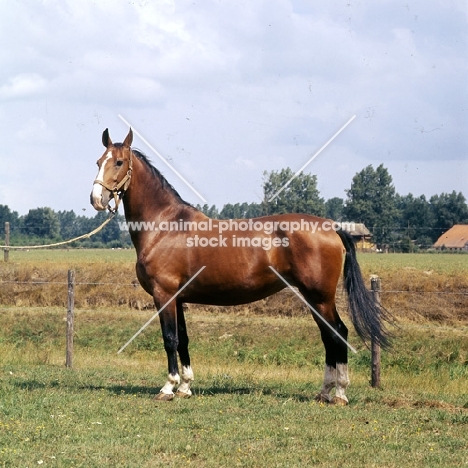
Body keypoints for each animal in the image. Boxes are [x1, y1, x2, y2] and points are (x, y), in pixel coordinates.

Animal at [89, 129, 390, 406]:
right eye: (98, 161)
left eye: (118, 162)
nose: (96, 199)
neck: (165, 226)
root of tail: (332, 227)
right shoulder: (179, 298)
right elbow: (184, 339)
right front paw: (185, 387)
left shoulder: (164, 295)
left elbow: (170, 339)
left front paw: (168, 387)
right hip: (313, 298)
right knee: (329, 336)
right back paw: (325, 391)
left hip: (320, 297)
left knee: (338, 334)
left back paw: (339, 394)